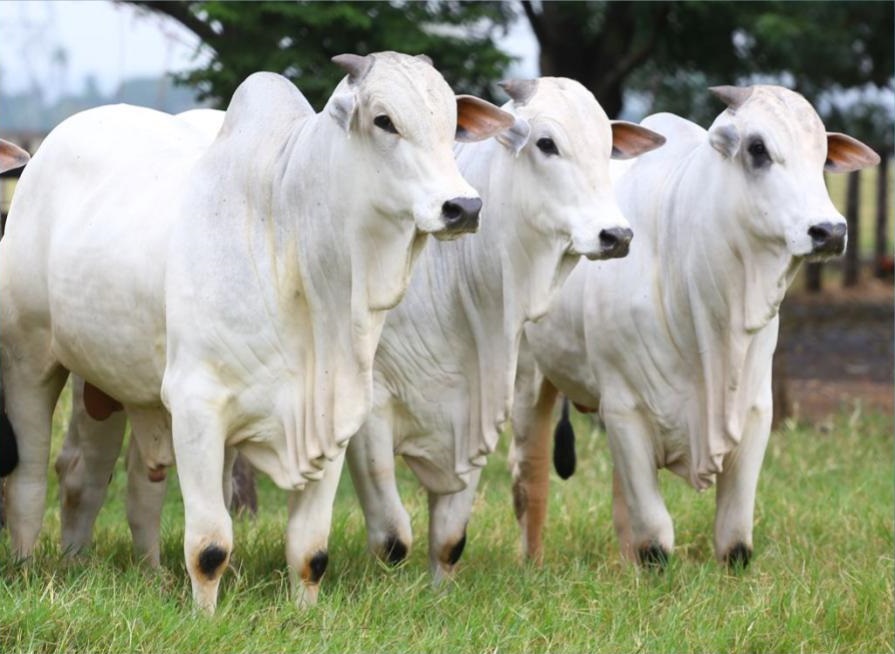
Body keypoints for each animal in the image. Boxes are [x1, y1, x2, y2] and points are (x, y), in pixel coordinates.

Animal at [0, 52, 516, 616]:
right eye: (384, 120)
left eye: (452, 123)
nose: (464, 207)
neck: (288, 239)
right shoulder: (197, 405)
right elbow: (209, 546)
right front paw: (204, 618)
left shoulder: (332, 416)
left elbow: (310, 550)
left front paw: (305, 615)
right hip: (30, 362)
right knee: (31, 476)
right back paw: (28, 566)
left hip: (114, 384)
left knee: (116, 479)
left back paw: (138, 572)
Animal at [346, 78, 668, 584]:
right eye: (546, 143)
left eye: (606, 148)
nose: (617, 236)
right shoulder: (370, 410)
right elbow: (393, 537)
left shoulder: (479, 405)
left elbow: (450, 538)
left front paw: (439, 590)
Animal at [512, 84, 880, 568]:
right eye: (757, 148)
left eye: (822, 155)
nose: (831, 231)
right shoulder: (625, 408)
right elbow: (656, 540)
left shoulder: (755, 411)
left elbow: (735, 540)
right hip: (527, 377)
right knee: (529, 477)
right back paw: (531, 562)